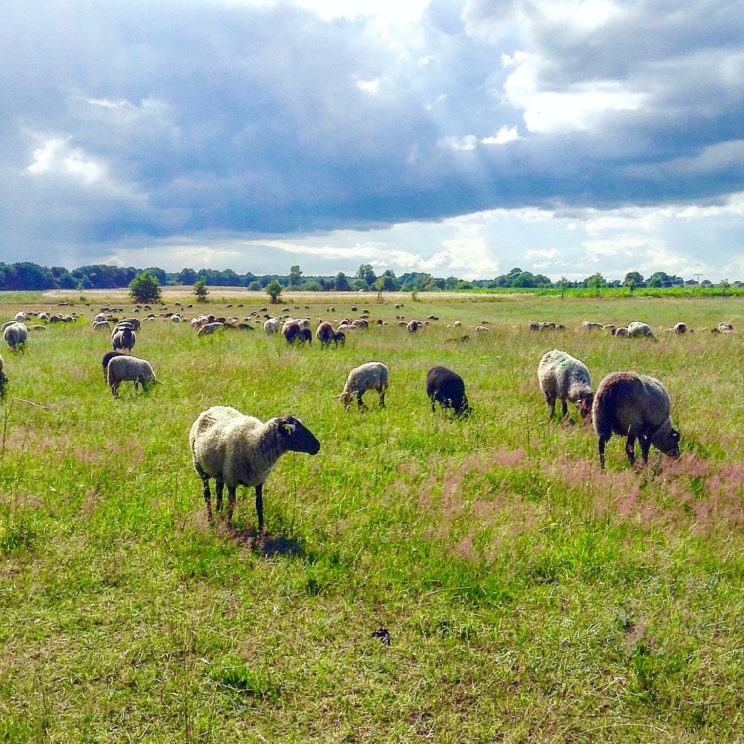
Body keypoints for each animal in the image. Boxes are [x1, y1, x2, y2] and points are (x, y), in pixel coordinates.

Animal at [189, 406, 320, 530]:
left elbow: (259, 505)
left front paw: (261, 529)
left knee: (219, 489)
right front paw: (228, 526)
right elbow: (232, 503)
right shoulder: (232, 479)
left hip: (219, 471)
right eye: (297, 433)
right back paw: (211, 520)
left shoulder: (259, 480)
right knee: (207, 495)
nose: (317, 446)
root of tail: (211, 408)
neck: (254, 441)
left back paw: (219, 513)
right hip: (200, 467)